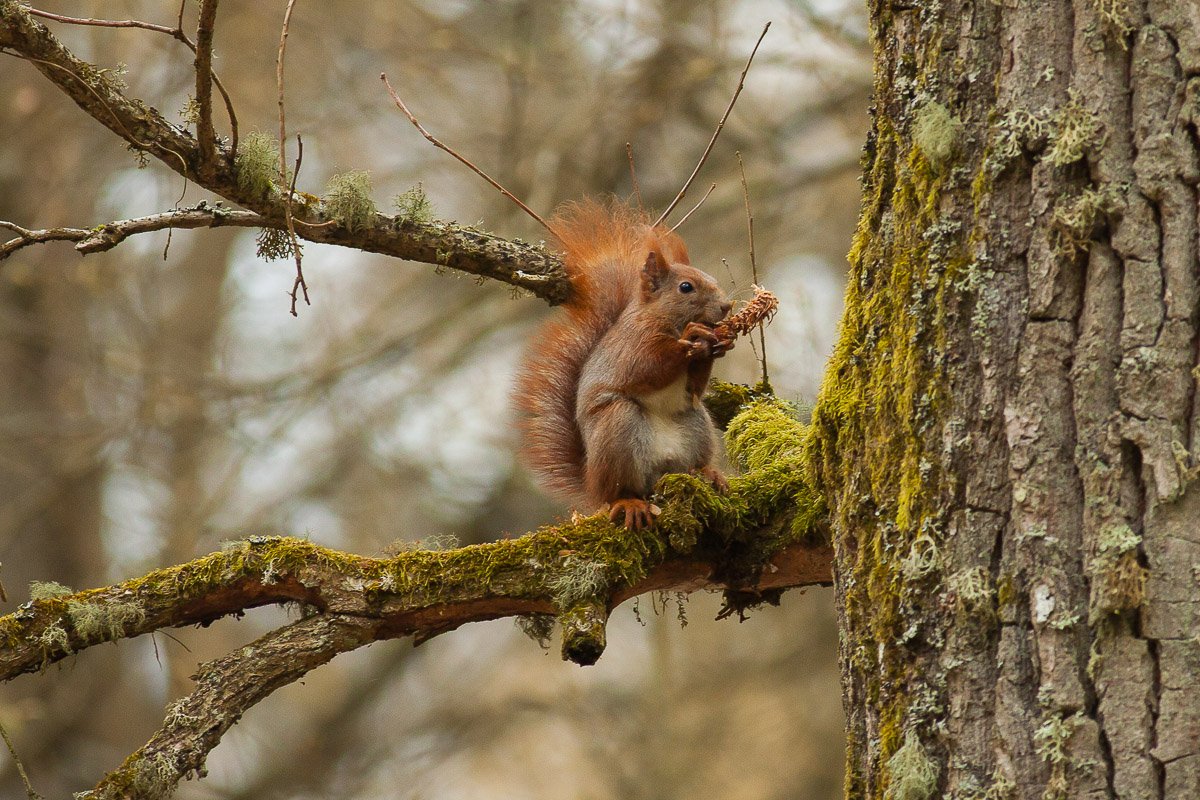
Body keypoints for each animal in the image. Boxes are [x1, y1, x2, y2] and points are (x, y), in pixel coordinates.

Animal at [515, 200, 734, 529]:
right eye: (686, 287)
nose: (726, 307)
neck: (662, 319)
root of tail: (592, 484)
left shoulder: (691, 388)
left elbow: (695, 387)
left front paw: (720, 344)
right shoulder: (631, 349)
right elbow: (647, 370)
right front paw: (693, 334)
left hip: (696, 424)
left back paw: (708, 472)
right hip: (618, 428)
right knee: (620, 490)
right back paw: (628, 502)